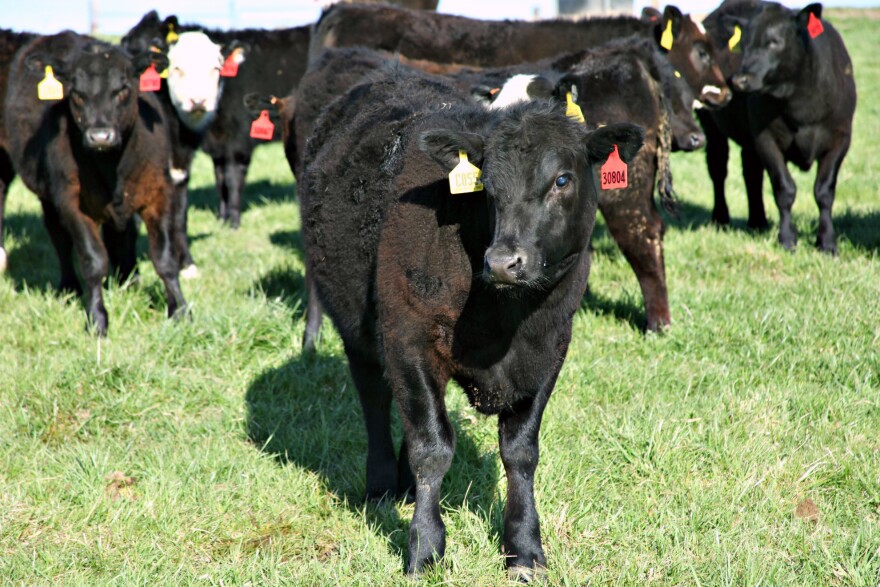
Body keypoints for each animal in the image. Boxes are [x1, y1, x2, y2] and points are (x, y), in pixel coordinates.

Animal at [5, 32, 186, 336]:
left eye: (123, 88)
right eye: (77, 93)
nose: (100, 136)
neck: (114, 166)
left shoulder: (159, 193)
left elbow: (165, 258)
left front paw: (180, 311)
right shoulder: (72, 203)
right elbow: (93, 260)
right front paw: (97, 319)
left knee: (119, 236)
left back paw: (128, 281)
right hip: (45, 194)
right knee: (59, 237)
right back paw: (70, 288)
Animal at [300, 63, 644, 580]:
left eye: (562, 179)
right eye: (488, 186)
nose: (504, 262)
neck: (506, 319)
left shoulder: (549, 350)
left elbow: (520, 452)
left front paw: (524, 548)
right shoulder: (409, 340)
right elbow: (432, 447)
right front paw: (424, 548)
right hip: (356, 326)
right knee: (375, 397)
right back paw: (381, 485)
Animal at [700, 0, 852, 253]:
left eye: (773, 42)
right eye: (743, 44)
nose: (739, 80)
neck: (802, 104)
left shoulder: (840, 138)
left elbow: (824, 191)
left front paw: (827, 242)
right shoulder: (766, 139)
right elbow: (784, 189)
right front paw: (787, 239)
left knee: (751, 173)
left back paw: (758, 221)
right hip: (710, 124)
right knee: (718, 169)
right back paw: (720, 218)